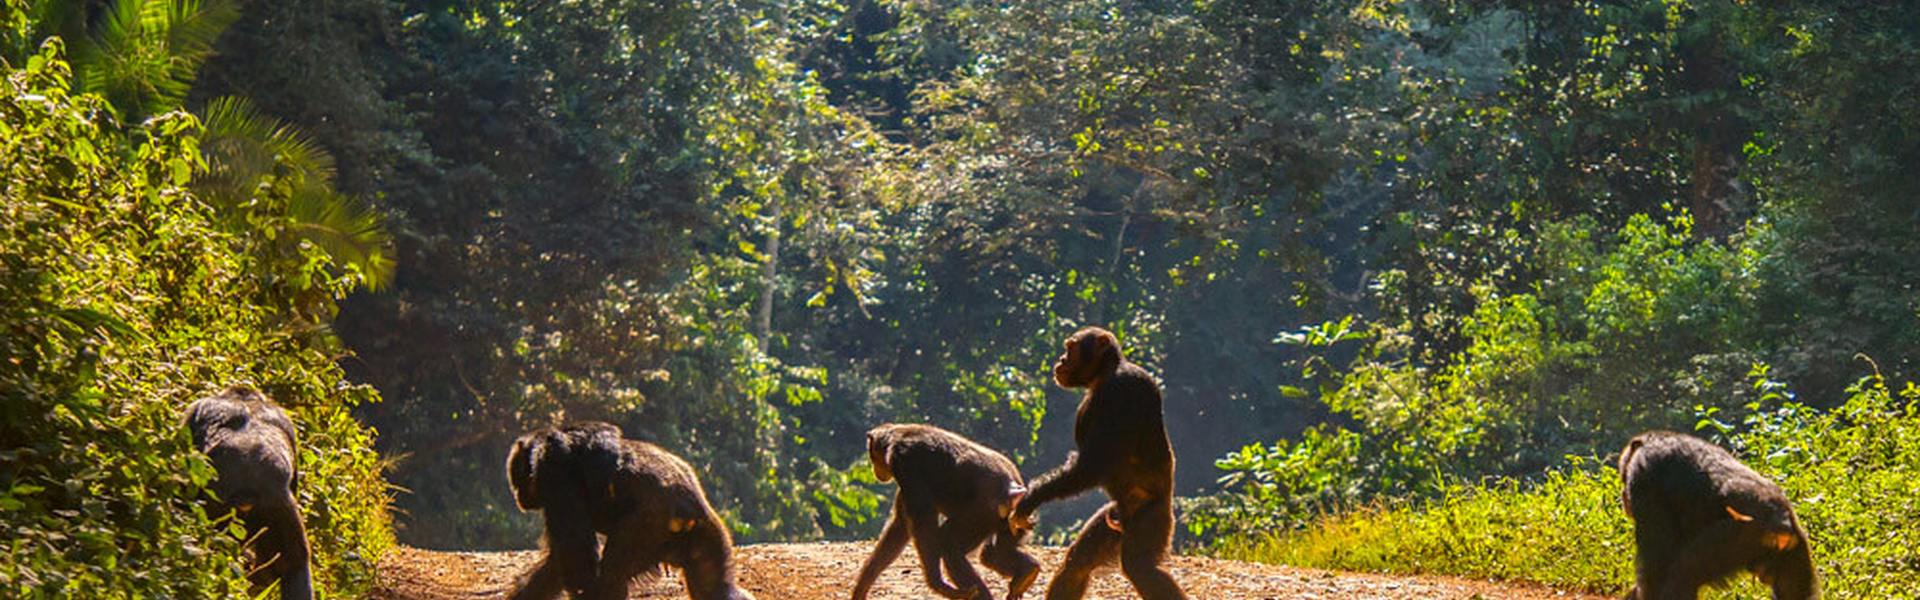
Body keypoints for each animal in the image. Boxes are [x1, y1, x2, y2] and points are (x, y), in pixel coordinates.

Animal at [506, 421, 752, 600]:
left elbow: (577, 559)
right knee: (715, 588)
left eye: (517, 480)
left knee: (612, 576)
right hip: (706, 530)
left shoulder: (555, 478)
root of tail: (688, 510)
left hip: (649, 524)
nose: (518, 496)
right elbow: (557, 563)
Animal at [852, 421, 1036, 600]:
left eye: (872, 456)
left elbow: (923, 519)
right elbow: (900, 525)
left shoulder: (904, 463)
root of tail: (1013, 489)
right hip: (1015, 519)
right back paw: (1027, 572)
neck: (892, 440)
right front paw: (861, 588)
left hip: (981, 512)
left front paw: (936, 582)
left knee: (950, 546)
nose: (873, 469)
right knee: (993, 554)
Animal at [1006, 328, 1182, 600]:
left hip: (1152, 518)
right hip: (1111, 521)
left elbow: (1094, 463)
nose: (1061, 359)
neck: (1104, 374)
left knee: (1140, 567)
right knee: (1077, 565)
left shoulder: (1122, 391)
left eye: (1070, 348)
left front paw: (1031, 498)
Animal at [1620, 430, 1812, 600]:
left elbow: (1656, 564)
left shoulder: (1642, 478)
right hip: (1796, 549)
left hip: (1737, 537)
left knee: (1683, 575)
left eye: (1624, 477)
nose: (1623, 495)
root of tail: (1783, 521)